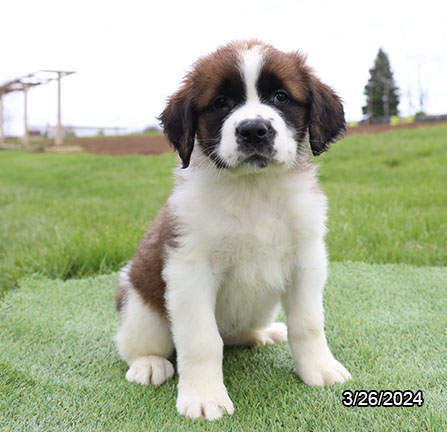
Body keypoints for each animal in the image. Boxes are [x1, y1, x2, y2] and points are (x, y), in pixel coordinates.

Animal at [116, 39, 354, 418]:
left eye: (281, 97)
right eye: (221, 103)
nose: (254, 130)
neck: (252, 189)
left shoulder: (307, 260)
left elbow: (308, 323)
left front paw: (319, 368)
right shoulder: (190, 270)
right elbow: (201, 339)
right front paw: (203, 396)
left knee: (233, 334)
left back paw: (261, 333)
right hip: (141, 307)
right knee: (134, 344)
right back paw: (148, 364)